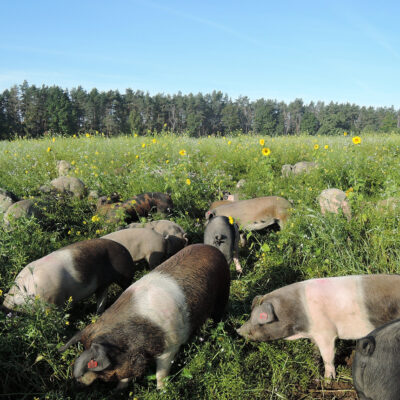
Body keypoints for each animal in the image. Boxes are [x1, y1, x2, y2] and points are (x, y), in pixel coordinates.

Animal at [1, 238, 137, 312]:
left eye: (15, 304)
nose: (6, 306)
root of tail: (127, 253)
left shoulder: (52, 302)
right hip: (103, 283)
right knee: (101, 299)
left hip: (124, 276)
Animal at [57, 244, 230, 390]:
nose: (77, 383)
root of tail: (212, 248)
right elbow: (126, 376)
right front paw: (119, 390)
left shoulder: (170, 347)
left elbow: (161, 373)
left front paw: (162, 391)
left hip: (223, 291)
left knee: (219, 315)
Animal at [238, 274, 400, 380]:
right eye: (250, 315)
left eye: (259, 320)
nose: (239, 330)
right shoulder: (314, 335)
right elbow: (316, 351)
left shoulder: (326, 332)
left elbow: (328, 356)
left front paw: (328, 380)